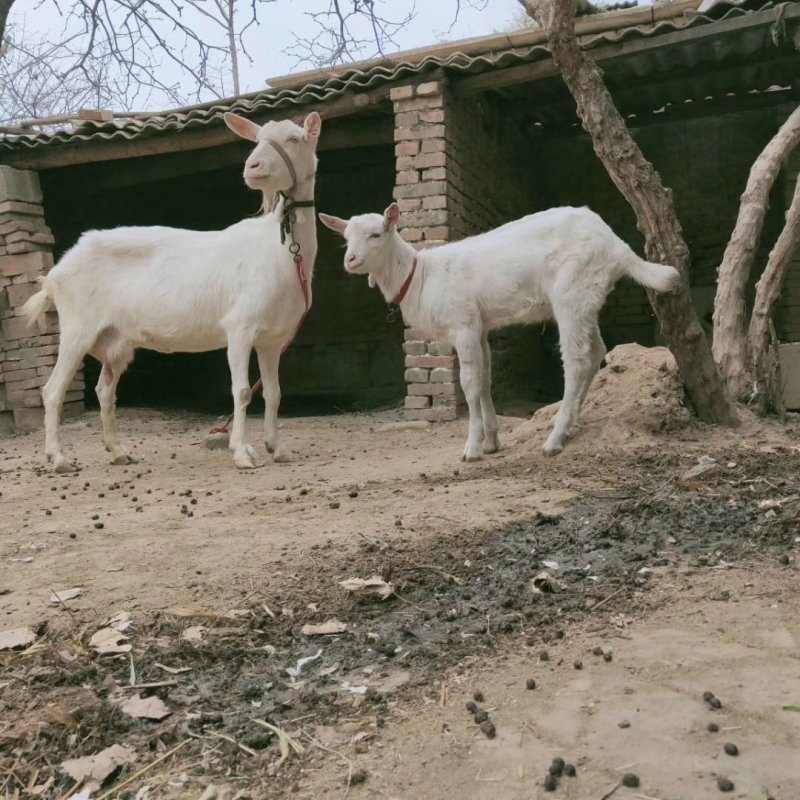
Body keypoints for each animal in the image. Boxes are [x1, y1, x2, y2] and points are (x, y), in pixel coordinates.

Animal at [22, 112, 322, 476]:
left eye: (294, 139)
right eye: (257, 139)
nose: (253, 167)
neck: (280, 249)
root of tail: (57, 271)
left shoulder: (272, 339)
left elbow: (274, 392)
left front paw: (277, 448)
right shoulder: (239, 327)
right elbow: (241, 391)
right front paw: (242, 452)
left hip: (116, 340)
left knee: (105, 390)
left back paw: (118, 452)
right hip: (78, 327)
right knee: (53, 390)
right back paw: (59, 458)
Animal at [320, 203, 680, 460]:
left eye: (376, 234)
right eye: (346, 237)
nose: (350, 260)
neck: (419, 275)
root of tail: (617, 247)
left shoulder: (463, 324)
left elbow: (468, 384)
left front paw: (472, 449)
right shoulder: (479, 326)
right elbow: (484, 379)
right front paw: (492, 441)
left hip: (572, 290)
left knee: (577, 360)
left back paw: (555, 438)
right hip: (586, 297)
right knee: (596, 353)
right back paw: (569, 423)